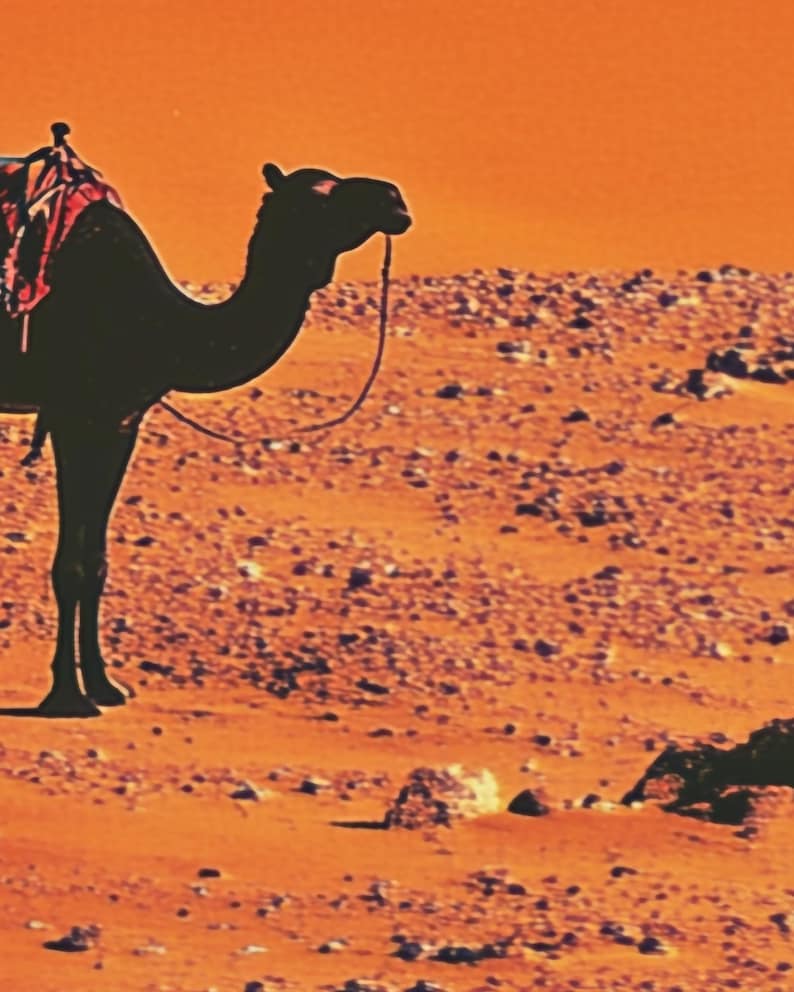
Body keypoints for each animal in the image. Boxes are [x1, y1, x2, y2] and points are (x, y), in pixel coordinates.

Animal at [0, 160, 411, 717]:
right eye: (320, 197)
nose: (394, 199)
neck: (160, 324)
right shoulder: (74, 414)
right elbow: (70, 564)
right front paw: (67, 695)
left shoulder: (121, 420)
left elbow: (96, 562)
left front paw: (106, 686)